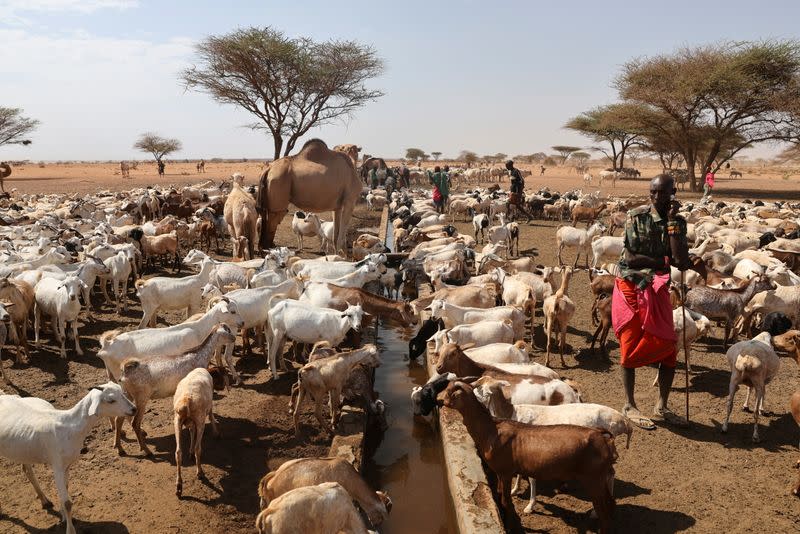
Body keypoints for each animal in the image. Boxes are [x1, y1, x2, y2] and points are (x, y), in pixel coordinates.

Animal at [0, 386, 136, 534]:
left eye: (123, 392)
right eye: (111, 400)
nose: (134, 409)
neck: (70, 427)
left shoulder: (67, 465)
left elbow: (65, 489)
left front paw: (64, 516)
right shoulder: (57, 465)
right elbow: (68, 503)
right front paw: (70, 529)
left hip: (23, 450)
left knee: (27, 470)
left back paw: (44, 500)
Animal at [115, 326, 234, 456]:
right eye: (226, 332)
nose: (233, 338)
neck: (199, 356)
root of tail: (125, 371)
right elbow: (211, 413)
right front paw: (217, 433)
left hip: (127, 395)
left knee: (118, 419)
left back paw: (120, 448)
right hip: (141, 398)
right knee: (135, 423)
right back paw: (146, 450)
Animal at [174, 368, 220, 498]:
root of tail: (186, 400)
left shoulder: (189, 422)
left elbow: (191, 432)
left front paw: (189, 452)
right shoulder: (207, 409)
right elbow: (211, 415)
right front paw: (216, 433)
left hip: (177, 421)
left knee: (178, 452)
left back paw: (179, 486)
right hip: (200, 420)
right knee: (198, 448)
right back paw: (200, 472)